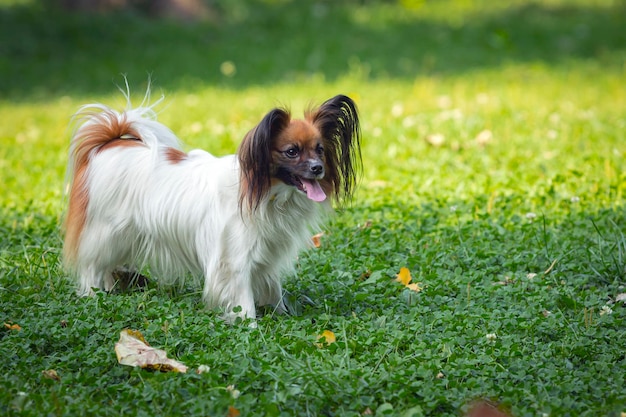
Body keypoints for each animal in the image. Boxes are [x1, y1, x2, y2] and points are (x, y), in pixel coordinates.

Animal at [63, 92, 360, 322]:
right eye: (291, 151)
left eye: (320, 150)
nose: (318, 168)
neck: (265, 192)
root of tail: (109, 143)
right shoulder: (235, 258)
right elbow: (243, 298)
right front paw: (249, 325)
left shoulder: (266, 253)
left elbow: (273, 288)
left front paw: (282, 313)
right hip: (105, 231)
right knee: (91, 264)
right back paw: (92, 294)